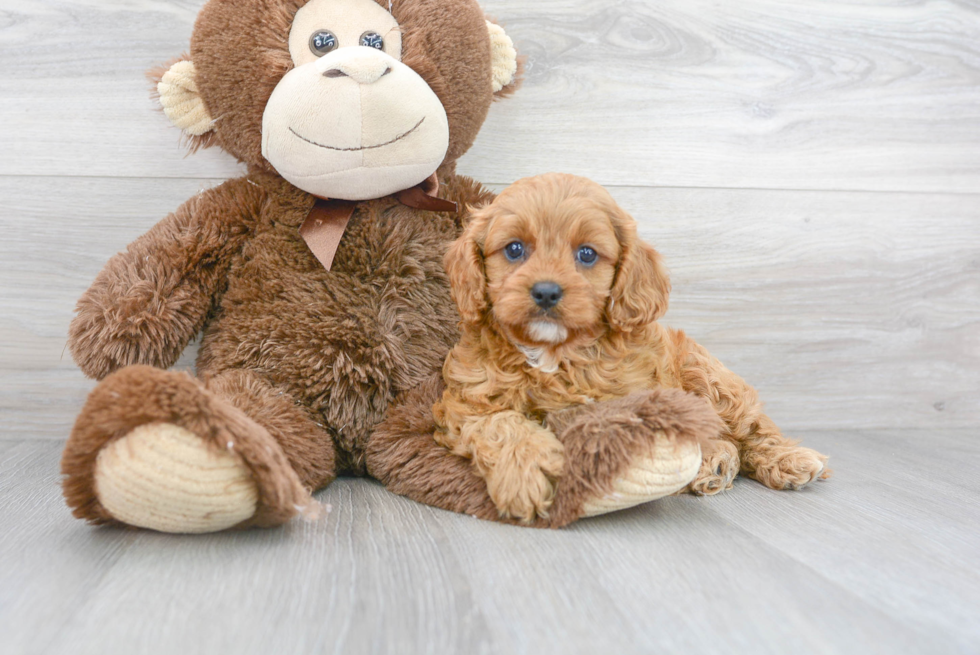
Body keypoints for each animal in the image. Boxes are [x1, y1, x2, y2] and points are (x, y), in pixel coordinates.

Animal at [432, 172, 832, 520]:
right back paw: (713, 464)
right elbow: (501, 423)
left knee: (753, 431)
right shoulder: (468, 401)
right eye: (514, 249)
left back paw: (787, 460)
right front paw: (524, 474)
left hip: (709, 378)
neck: (555, 353)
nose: (546, 291)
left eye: (587, 254)